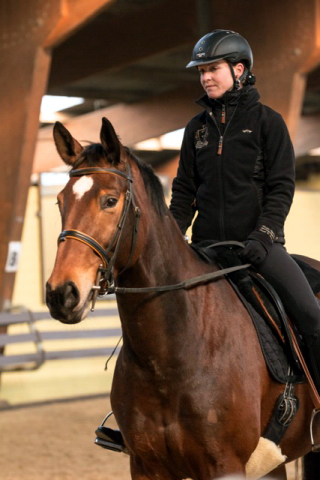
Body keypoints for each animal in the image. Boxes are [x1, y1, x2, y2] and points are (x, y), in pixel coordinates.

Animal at [47, 117, 320, 480]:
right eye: (60, 202)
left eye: (110, 201)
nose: (61, 293)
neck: (169, 355)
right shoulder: (146, 467)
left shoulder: (226, 466)